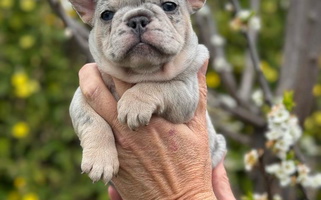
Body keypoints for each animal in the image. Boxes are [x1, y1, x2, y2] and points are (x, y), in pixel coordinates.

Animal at [69, 0, 226, 184]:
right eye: (106, 15)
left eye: (169, 6)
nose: (137, 20)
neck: (142, 71)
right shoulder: (82, 94)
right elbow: (91, 120)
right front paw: (100, 160)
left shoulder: (187, 92)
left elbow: (157, 85)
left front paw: (134, 103)